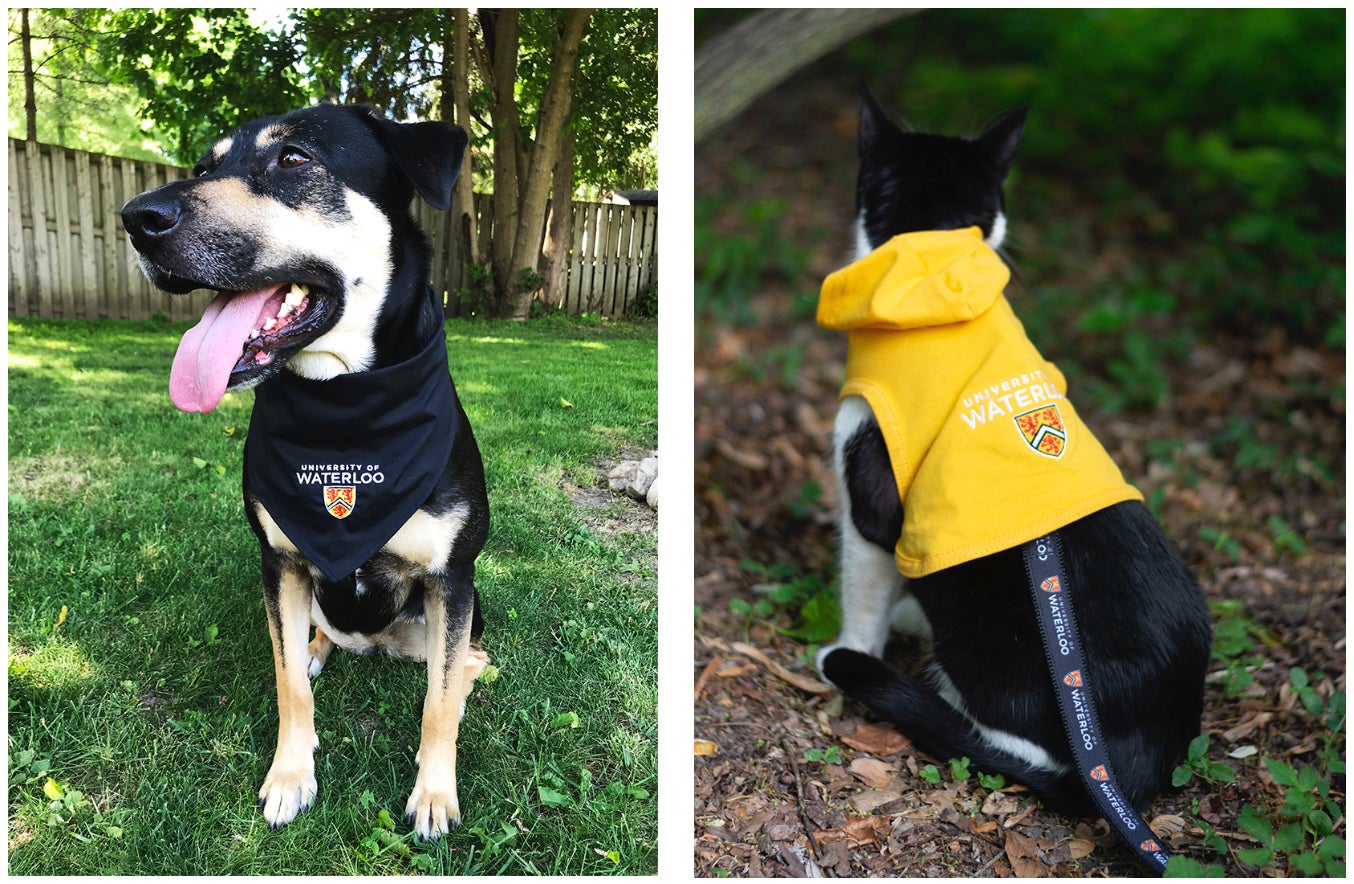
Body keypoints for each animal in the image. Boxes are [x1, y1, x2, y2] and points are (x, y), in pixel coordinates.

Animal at [121, 103, 492, 833]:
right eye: (204, 165)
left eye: (293, 159)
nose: (136, 219)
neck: (345, 409)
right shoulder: (280, 564)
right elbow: (287, 679)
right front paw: (291, 775)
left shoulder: (451, 578)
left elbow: (436, 706)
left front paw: (435, 793)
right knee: (319, 635)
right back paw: (324, 648)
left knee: (464, 661)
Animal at [806, 89, 1213, 812]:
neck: (934, 258)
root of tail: (1146, 763)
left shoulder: (873, 497)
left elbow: (862, 588)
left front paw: (853, 649)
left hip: (986, 634)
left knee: (1020, 747)